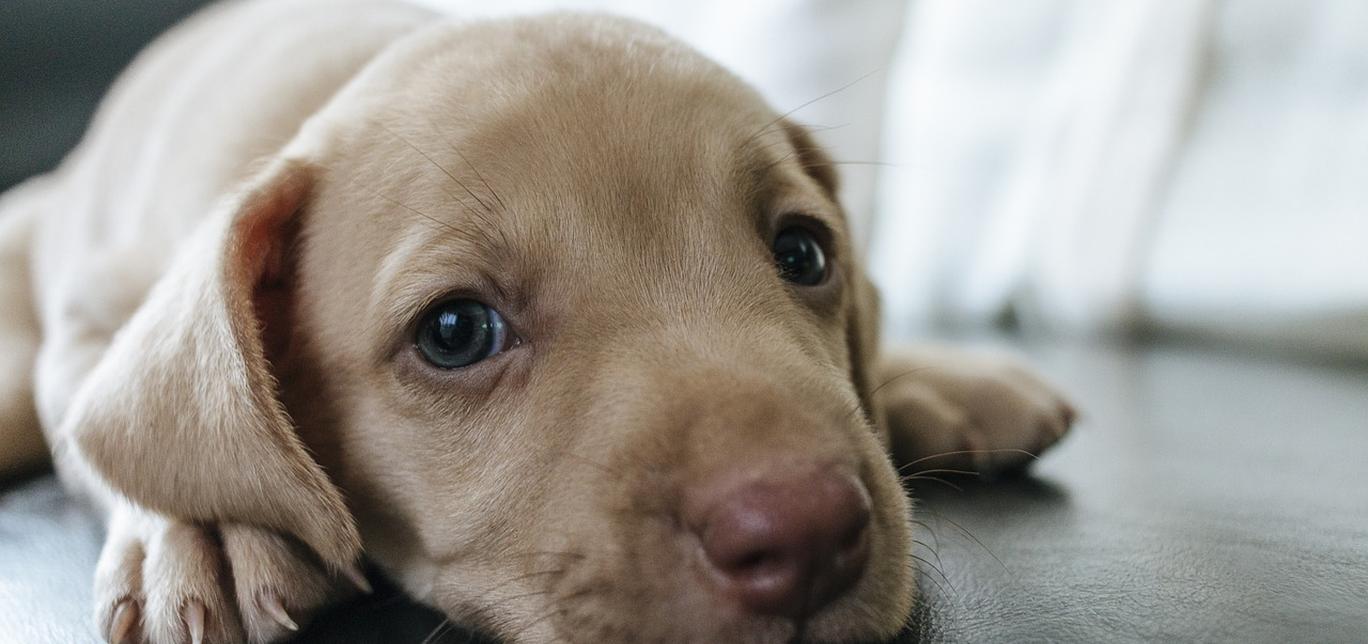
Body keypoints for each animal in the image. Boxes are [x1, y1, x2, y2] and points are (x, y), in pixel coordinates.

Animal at [0, 0, 1072, 642]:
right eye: (454, 333)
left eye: (805, 254)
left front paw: (926, 378)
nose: (807, 533)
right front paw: (206, 533)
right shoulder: (90, 318)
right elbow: (117, 432)